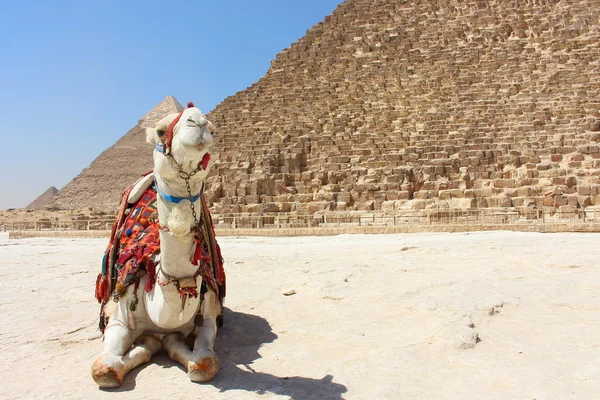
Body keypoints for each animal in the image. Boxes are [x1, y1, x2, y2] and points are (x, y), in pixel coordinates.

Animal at [91, 102, 225, 388]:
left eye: (211, 126)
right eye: (162, 131)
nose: (197, 120)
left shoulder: (208, 315)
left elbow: (203, 365)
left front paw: (170, 343)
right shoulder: (118, 316)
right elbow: (105, 369)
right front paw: (145, 344)